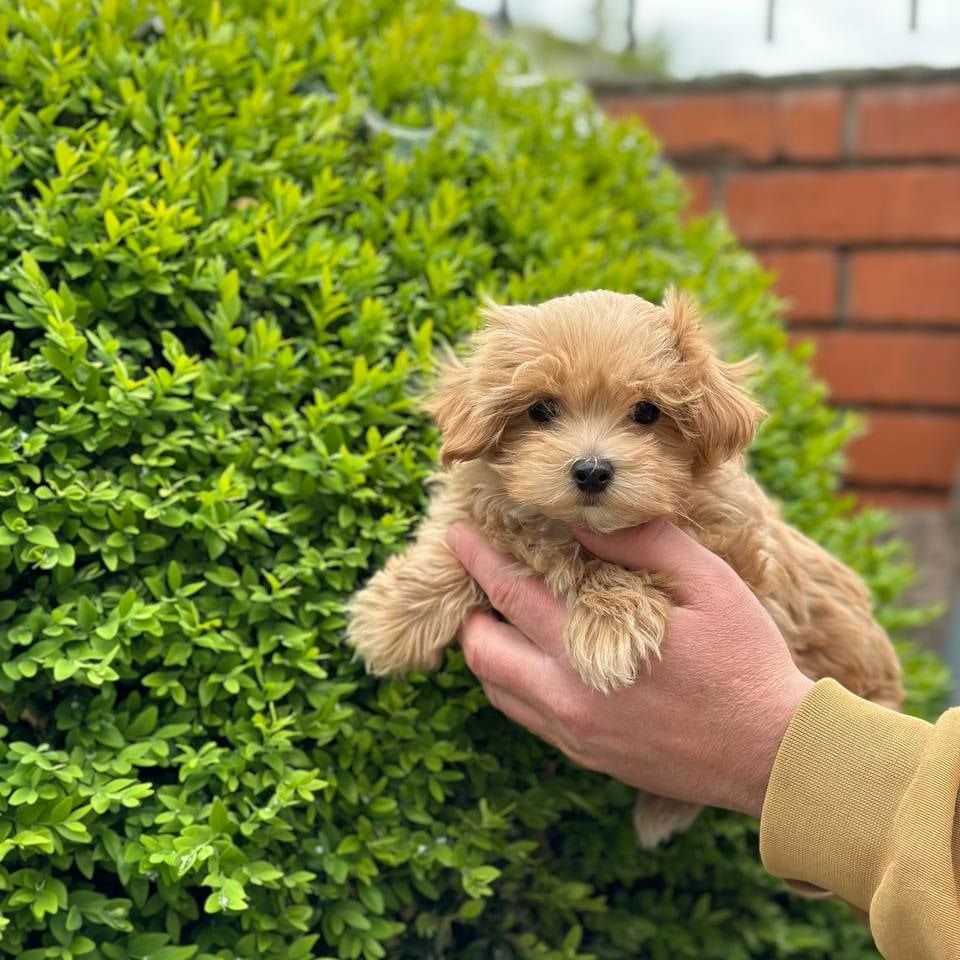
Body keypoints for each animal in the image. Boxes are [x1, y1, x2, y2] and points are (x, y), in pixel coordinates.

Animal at [348, 288, 904, 844]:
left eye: (646, 412)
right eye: (541, 409)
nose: (592, 470)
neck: (575, 525)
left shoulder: (732, 551)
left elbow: (608, 565)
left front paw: (608, 627)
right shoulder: (484, 503)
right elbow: (460, 533)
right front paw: (392, 620)